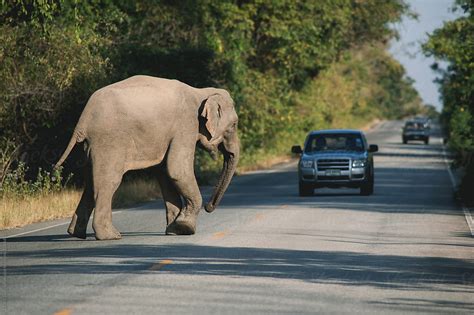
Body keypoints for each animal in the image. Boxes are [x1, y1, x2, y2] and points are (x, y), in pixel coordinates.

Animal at [54, 75, 241, 241]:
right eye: (234, 125)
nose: (209, 207)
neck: (201, 92)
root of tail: (83, 120)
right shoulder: (186, 125)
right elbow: (176, 170)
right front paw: (184, 228)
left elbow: (165, 173)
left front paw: (174, 231)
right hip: (108, 142)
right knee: (109, 181)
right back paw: (111, 236)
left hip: (91, 145)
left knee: (91, 182)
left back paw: (76, 234)